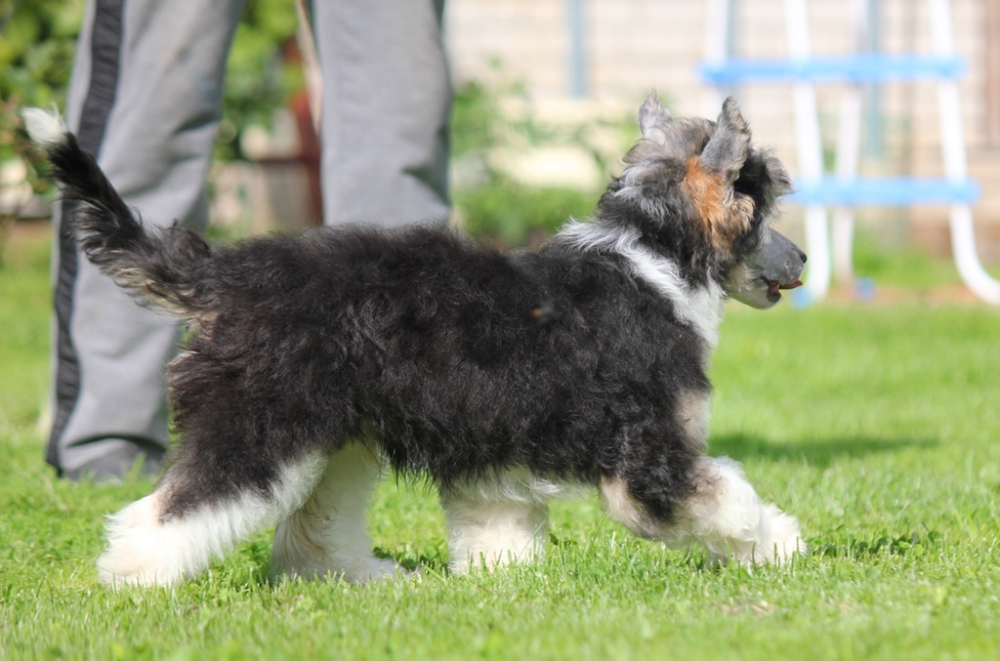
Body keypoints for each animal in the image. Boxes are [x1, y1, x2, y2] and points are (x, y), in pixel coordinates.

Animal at [25, 94, 807, 587]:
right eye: (763, 203)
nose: (801, 259)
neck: (654, 259)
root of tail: (227, 274)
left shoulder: (495, 451)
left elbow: (498, 528)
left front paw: (504, 582)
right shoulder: (647, 457)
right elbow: (726, 500)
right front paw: (780, 545)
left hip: (337, 438)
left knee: (313, 527)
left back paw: (368, 579)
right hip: (257, 425)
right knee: (175, 508)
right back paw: (134, 579)